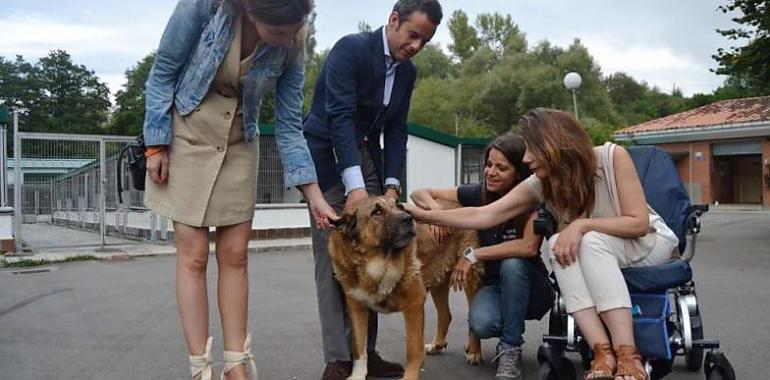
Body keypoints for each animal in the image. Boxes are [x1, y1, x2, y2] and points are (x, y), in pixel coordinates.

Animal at [328, 196, 480, 380]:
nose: (408, 219)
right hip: (438, 280)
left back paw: (474, 352)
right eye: (377, 212)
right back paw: (436, 345)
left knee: (473, 316)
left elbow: (413, 350)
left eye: (399, 206)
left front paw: (411, 375)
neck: (377, 265)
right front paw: (357, 375)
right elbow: (359, 349)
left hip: (469, 275)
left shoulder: (414, 304)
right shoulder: (357, 308)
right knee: (445, 315)